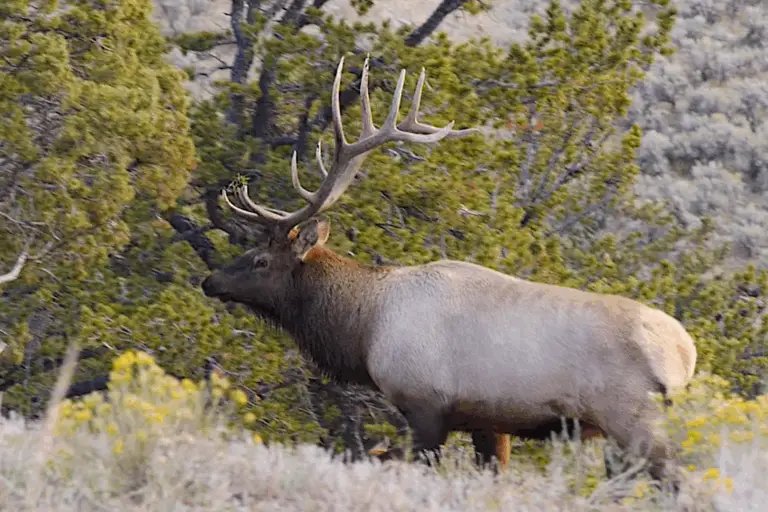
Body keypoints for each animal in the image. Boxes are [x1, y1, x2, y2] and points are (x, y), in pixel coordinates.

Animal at [201, 55, 697, 489]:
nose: (211, 282)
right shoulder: (488, 421)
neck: (364, 328)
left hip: (634, 419)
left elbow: (396, 461)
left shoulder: (426, 407)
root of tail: (685, 353)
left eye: (261, 260)